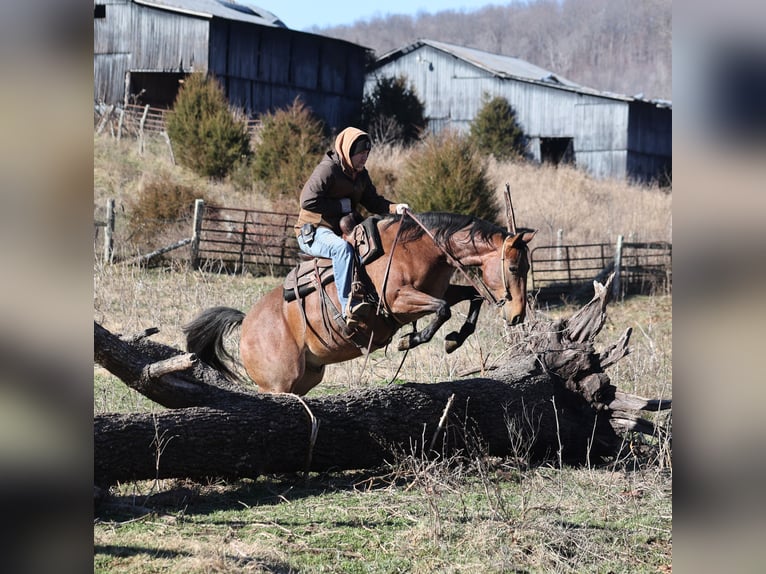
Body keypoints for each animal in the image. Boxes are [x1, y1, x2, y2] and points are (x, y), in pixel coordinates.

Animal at [184, 211, 535, 396]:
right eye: (513, 268)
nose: (518, 315)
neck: (421, 248)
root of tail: (247, 323)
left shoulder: (438, 290)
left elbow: (471, 298)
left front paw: (453, 340)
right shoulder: (397, 302)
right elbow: (442, 309)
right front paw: (410, 340)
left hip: (305, 378)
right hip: (278, 384)